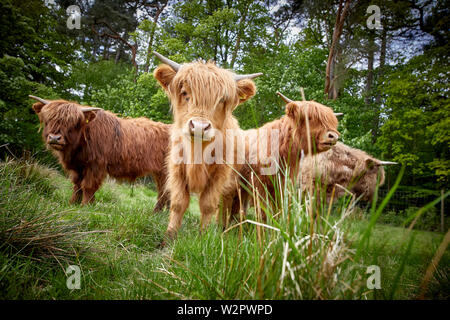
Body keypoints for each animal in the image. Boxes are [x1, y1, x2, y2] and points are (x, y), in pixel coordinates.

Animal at [29, 95, 171, 211]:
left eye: (73, 123)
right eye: (48, 119)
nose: (54, 138)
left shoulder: (95, 165)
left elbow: (88, 185)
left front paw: (85, 205)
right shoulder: (78, 167)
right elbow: (77, 185)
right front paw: (73, 204)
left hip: (165, 172)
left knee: (165, 192)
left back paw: (158, 213)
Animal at [153, 52, 262, 238]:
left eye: (222, 100)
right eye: (185, 92)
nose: (199, 126)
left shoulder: (219, 176)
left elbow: (208, 205)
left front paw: (203, 236)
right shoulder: (177, 170)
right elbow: (178, 203)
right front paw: (170, 236)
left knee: (232, 207)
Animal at [221, 91, 342, 224]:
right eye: (309, 118)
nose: (333, 136)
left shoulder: (283, 182)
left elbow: (279, 207)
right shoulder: (259, 182)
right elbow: (264, 210)